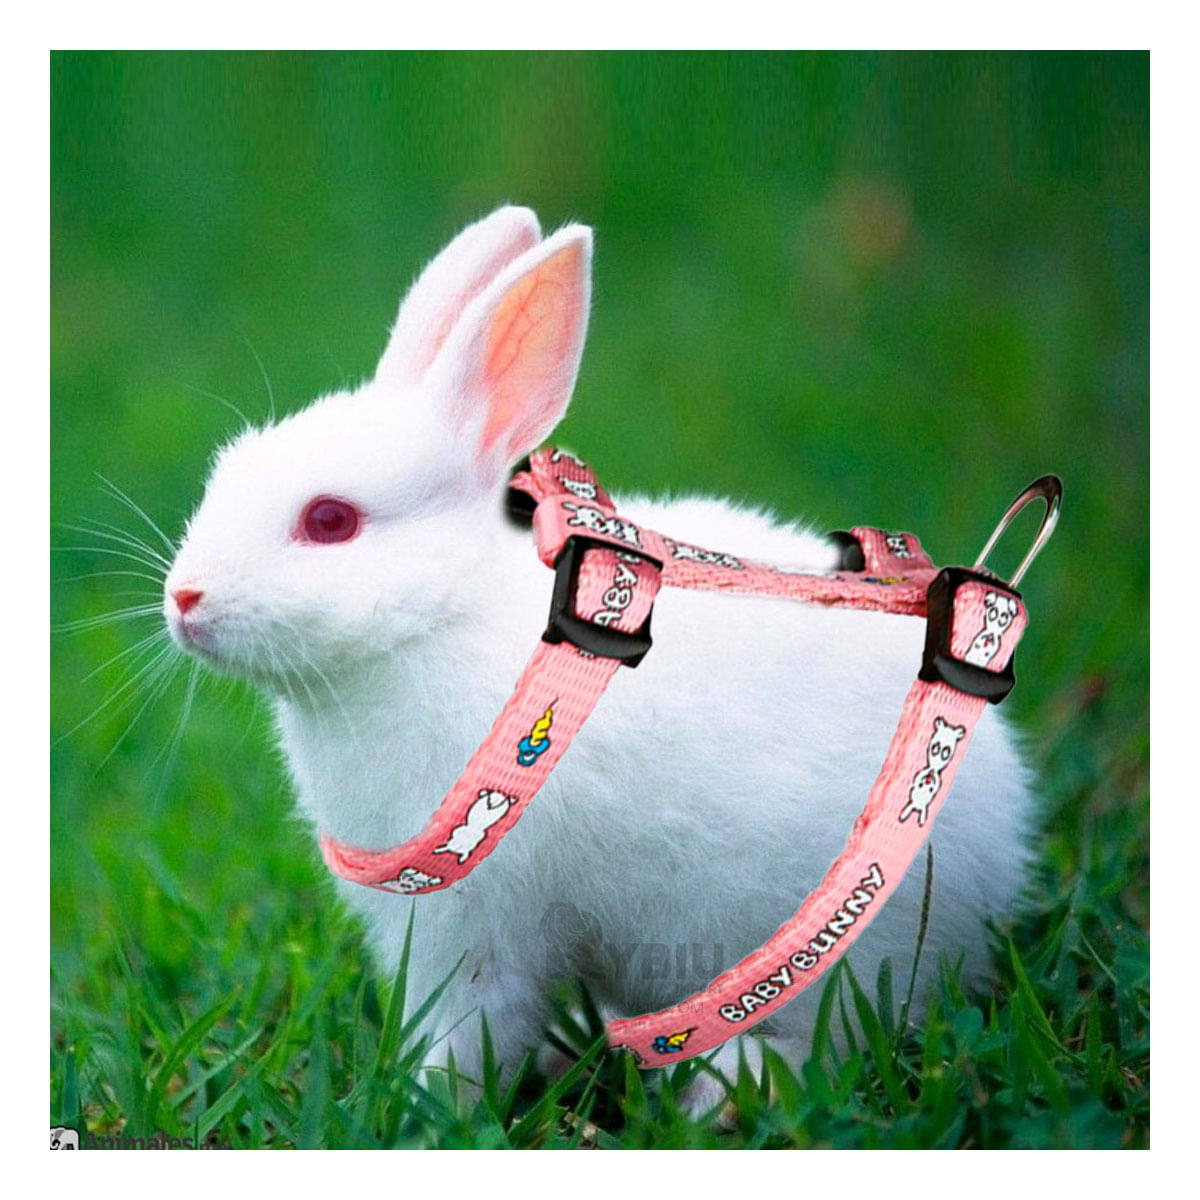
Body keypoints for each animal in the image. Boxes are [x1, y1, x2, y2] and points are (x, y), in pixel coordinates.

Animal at [163, 206, 1034, 1101]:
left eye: (330, 520)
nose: (184, 598)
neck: (443, 619)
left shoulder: (477, 924)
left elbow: (472, 1027)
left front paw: (426, 1099)